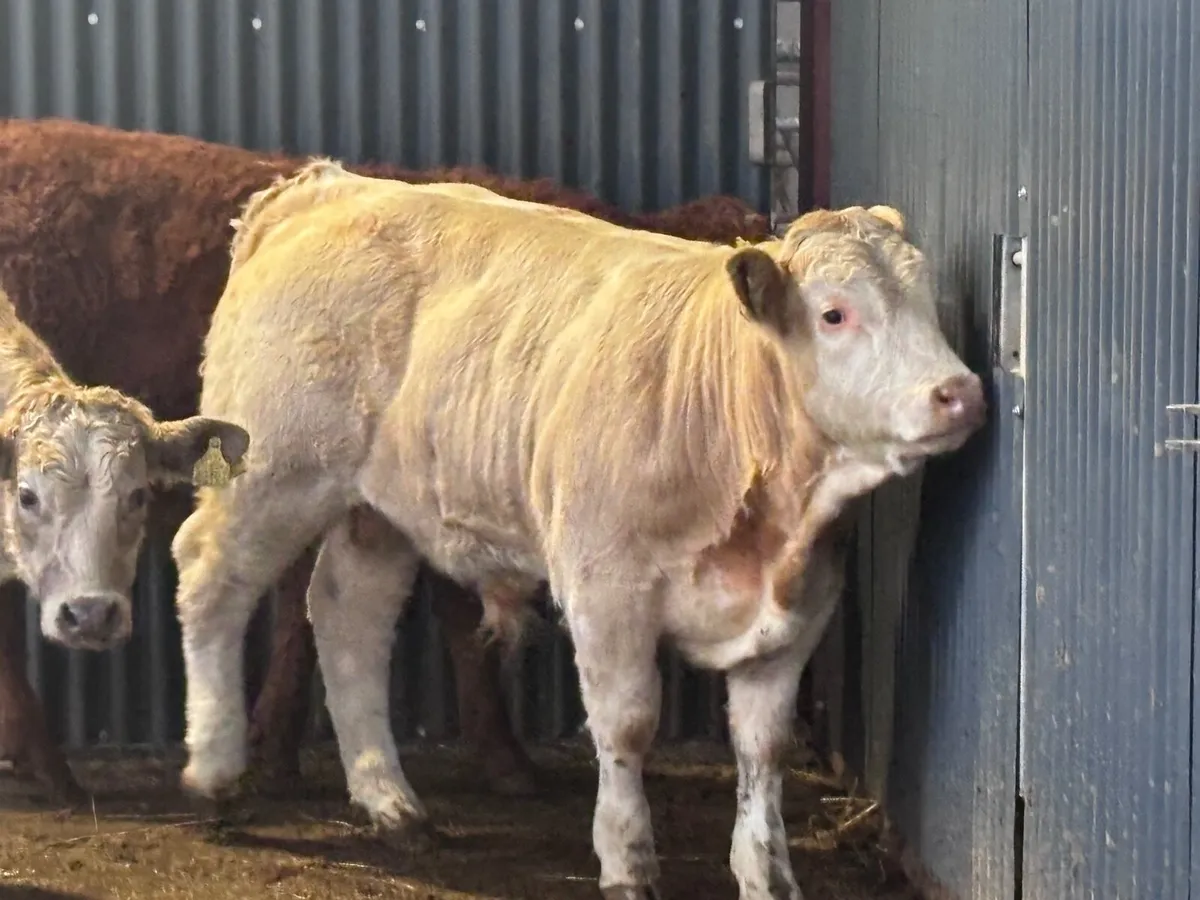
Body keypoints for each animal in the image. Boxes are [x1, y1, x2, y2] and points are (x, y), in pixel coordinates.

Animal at [172, 160, 986, 900]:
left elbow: (763, 747)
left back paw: (390, 801)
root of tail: (322, 186)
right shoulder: (607, 587)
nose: (961, 392)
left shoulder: (800, 608)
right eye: (835, 314)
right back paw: (215, 771)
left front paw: (768, 874)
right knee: (211, 578)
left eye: (928, 302)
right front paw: (627, 863)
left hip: (378, 508)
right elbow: (626, 726)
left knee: (349, 614)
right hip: (275, 467)